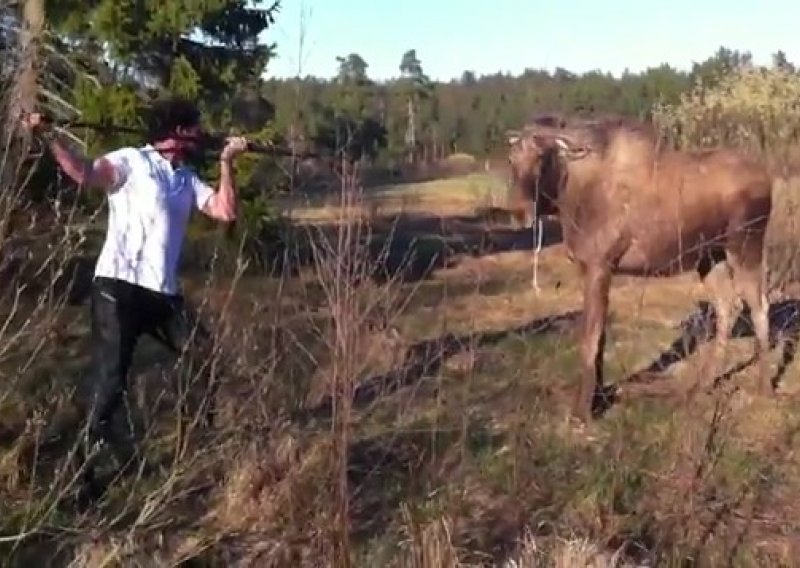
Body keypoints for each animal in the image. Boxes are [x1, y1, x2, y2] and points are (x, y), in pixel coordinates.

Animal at [506, 114, 776, 422]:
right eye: (511, 159)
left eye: (542, 157)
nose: (518, 212)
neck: (569, 199)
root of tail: (768, 179)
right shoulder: (595, 269)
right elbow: (600, 338)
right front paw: (598, 397)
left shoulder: (600, 265)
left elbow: (591, 338)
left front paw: (583, 410)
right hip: (710, 257)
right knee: (726, 308)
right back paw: (702, 384)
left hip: (745, 245)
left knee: (759, 306)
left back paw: (765, 387)